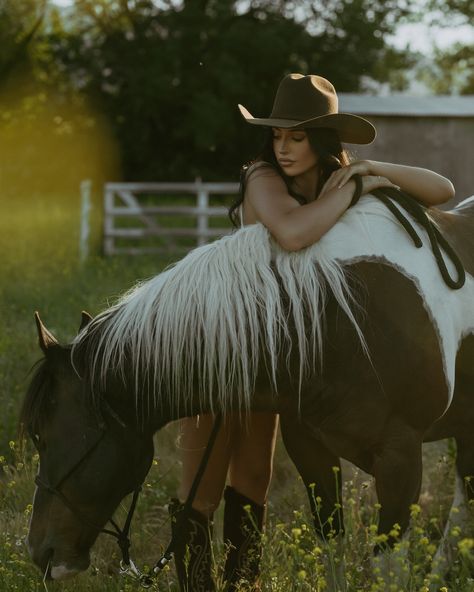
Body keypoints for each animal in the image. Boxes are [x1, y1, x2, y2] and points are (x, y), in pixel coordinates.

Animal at [20, 195, 474, 588]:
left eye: (43, 437)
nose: (40, 552)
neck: (336, 316)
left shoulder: (400, 458)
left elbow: (388, 567)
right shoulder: (311, 448)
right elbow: (332, 545)